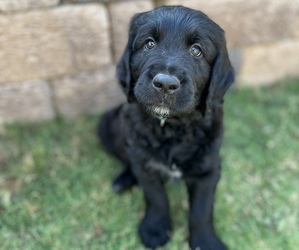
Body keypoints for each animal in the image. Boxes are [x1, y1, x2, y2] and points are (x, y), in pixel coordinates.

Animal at [99, 5, 236, 250]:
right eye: (149, 43)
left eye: (196, 51)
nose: (165, 84)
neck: (172, 126)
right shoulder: (144, 163)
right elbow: (156, 197)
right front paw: (155, 230)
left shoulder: (209, 168)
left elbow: (202, 209)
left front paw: (206, 241)